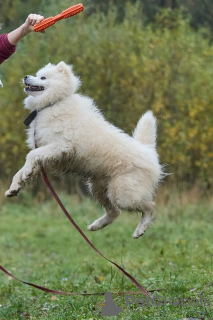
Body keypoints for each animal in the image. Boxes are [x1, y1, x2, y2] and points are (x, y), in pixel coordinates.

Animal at [5, 62, 163, 238]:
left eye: (43, 77)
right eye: (37, 74)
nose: (26, 76)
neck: (53, 103)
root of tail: (149, 152)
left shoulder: (61, 146)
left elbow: (31, 155)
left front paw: (24, 175)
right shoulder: (47, 155)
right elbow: (24, 168)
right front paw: (15, 186)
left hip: (124, 195)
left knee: (149, 207)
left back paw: (140, 230)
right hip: (99, 188)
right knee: (114, 212)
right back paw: (96, 226)